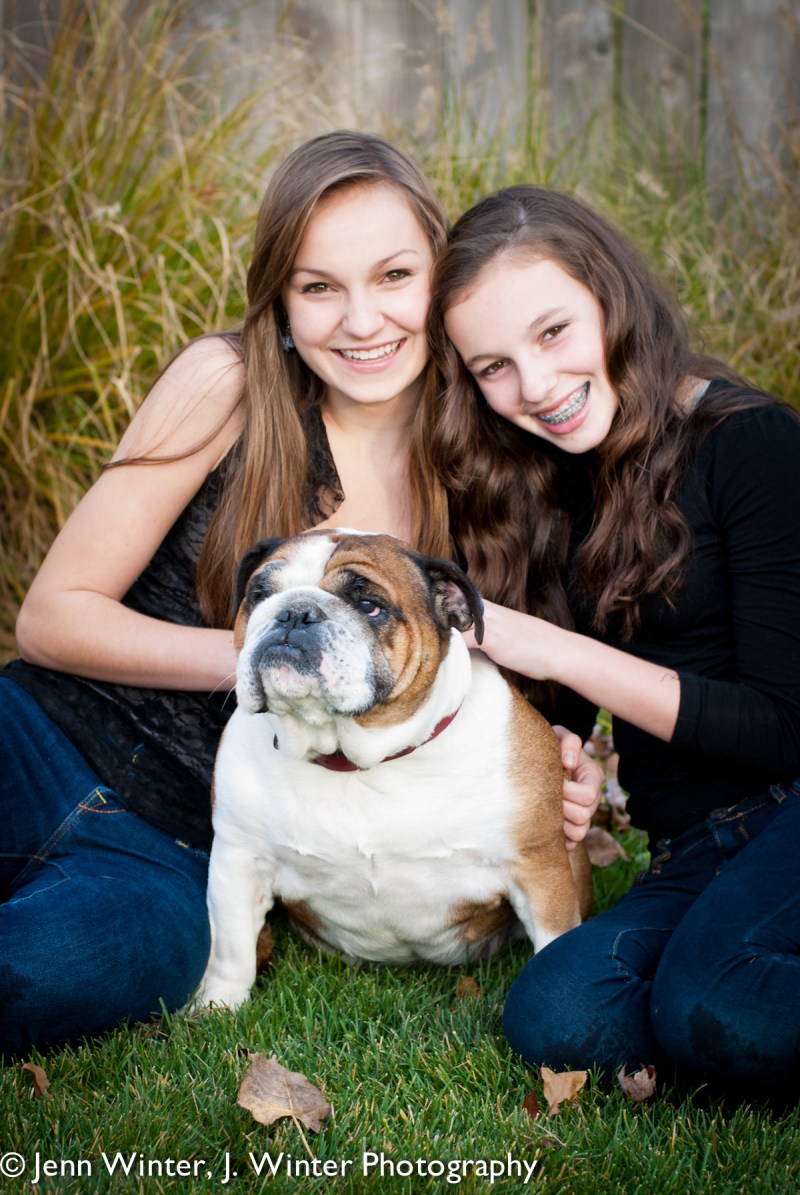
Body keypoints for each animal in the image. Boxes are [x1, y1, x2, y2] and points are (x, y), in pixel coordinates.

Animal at [195, 530, 591, 1010]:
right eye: (259, 595)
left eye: (369, 606)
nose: (294, 612)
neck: (361, 761)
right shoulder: (238, 857)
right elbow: (230, 946)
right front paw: (216, 1007)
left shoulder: (539, 867)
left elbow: (552, 942)